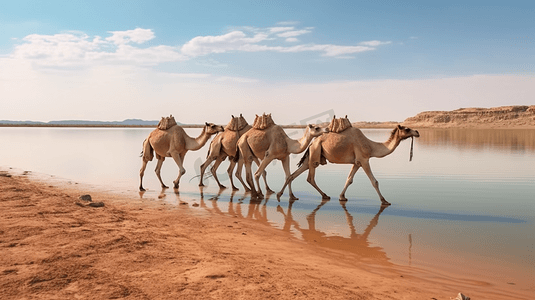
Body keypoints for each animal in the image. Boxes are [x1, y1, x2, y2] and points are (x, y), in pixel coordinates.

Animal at [278, 118, 420, 205]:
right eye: (407, 129)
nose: (417, 132)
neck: (371, 146)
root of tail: (312, 143)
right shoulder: (364, 159)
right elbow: (374, 181)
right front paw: (384, 201)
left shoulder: (357, 162)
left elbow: (349, 179)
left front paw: (342, 197)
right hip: (315, 154)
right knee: (310, 178)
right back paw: (324, 195)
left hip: (312, 156)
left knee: (293, 175)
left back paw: (284, 195)